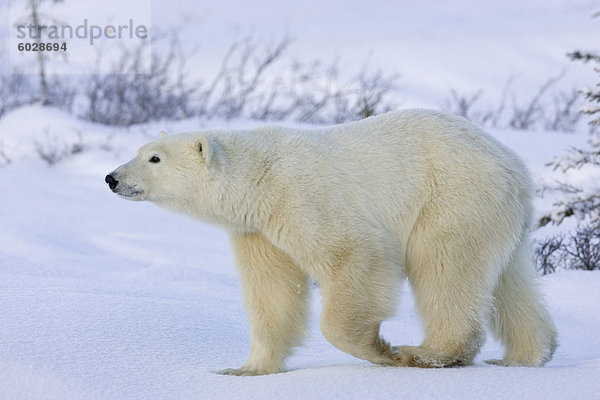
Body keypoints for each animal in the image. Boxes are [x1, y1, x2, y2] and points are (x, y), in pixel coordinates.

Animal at [104, 108, 556, 374]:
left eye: (154, 158)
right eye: (140, 150)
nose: (111, 178)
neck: (259, 178)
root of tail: (512, 165)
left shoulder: (303, 198)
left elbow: (354, 256)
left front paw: (380, 349)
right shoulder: (258, 230)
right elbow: (272, 292)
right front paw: (246, 368)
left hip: (451, 199)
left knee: (445, 269)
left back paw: (427, 353)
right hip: (496, 217)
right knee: (509, 281)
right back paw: (526, 355)